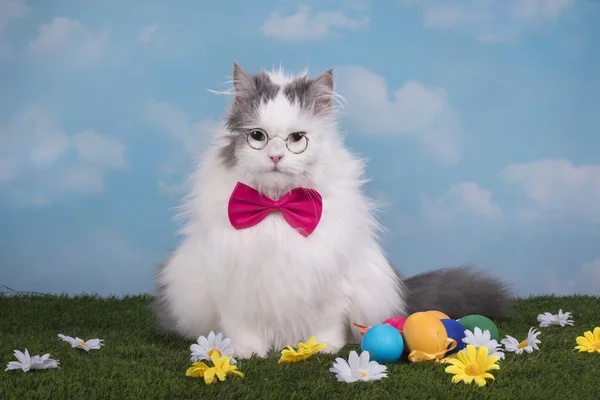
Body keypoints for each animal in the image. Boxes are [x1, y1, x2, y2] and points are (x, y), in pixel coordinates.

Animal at [152, 63, 512, 360]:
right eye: (257, 137)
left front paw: (323, 348)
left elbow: (326, 325)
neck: (277, 209)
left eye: (297, 139)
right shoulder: (233, 284)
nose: (275, 157)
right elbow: (243, 329)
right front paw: (247, 353)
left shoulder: (329, 283)